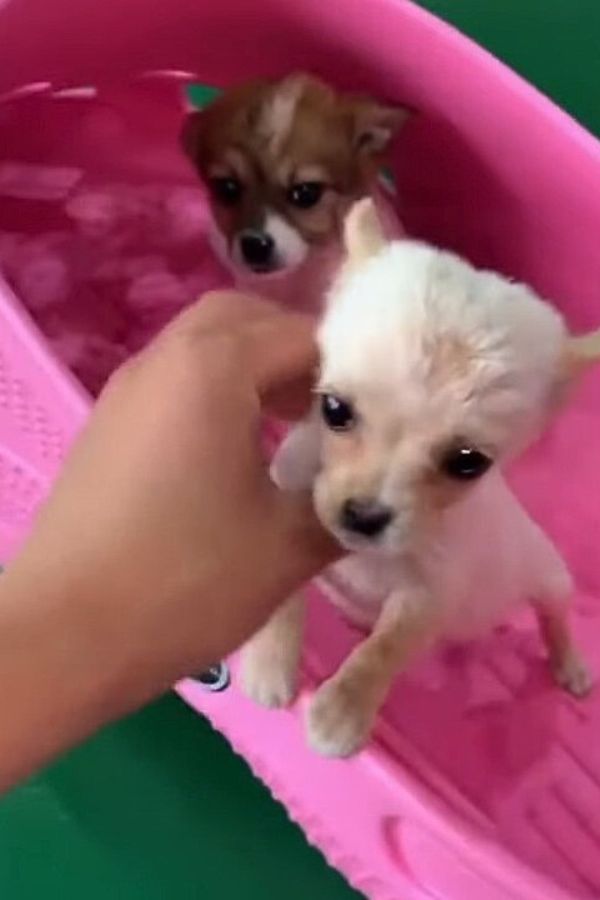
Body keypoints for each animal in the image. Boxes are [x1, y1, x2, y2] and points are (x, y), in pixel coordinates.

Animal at [240, 199, 596, 760]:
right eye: (333, 409)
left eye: (468, 462)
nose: (363, 517)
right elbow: (283, 598)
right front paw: (269, 664)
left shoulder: (430, 594)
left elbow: (386, 648)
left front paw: (342, 712)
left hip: (548, 575)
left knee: (553, 617)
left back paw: (571, 665)